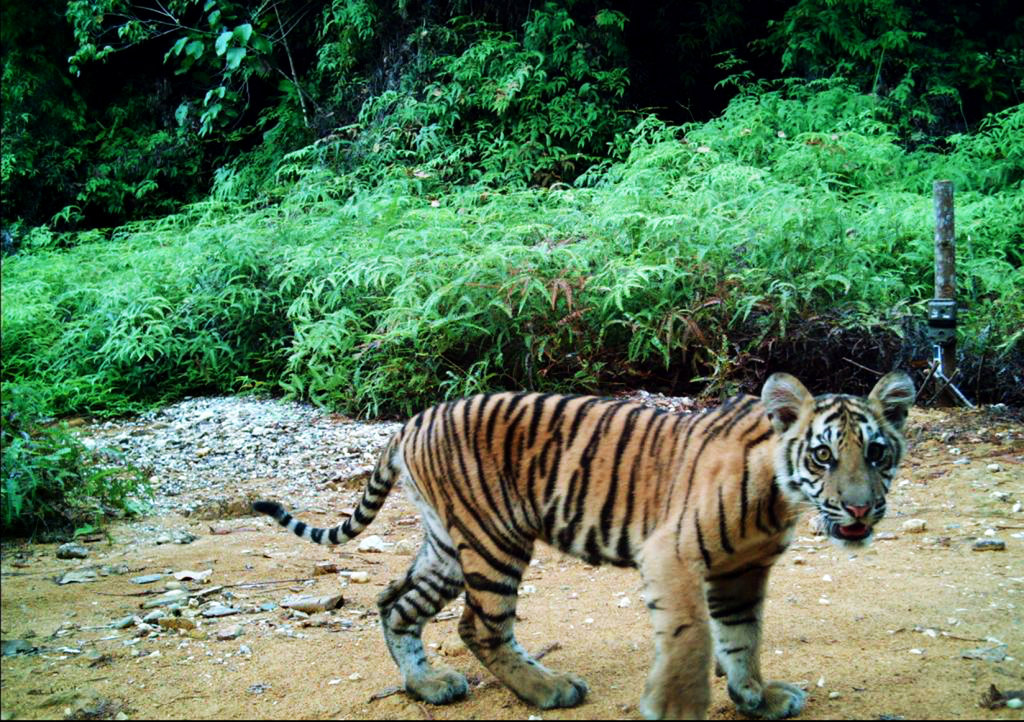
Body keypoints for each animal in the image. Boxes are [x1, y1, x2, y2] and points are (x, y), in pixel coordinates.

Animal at [254, 371, 915, 719]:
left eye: (877, 453)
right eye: (823, 454)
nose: (861, 508)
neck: (777, 493)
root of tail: (411, 422)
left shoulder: (741, 572)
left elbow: (742, 637)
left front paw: (756, 695)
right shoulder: (671, 555)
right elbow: (694, 638)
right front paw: (678, 705)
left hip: (446, 546)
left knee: (395, 602)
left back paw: (429, 686)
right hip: (494, 539)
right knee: (480, 626)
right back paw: (547, 689)